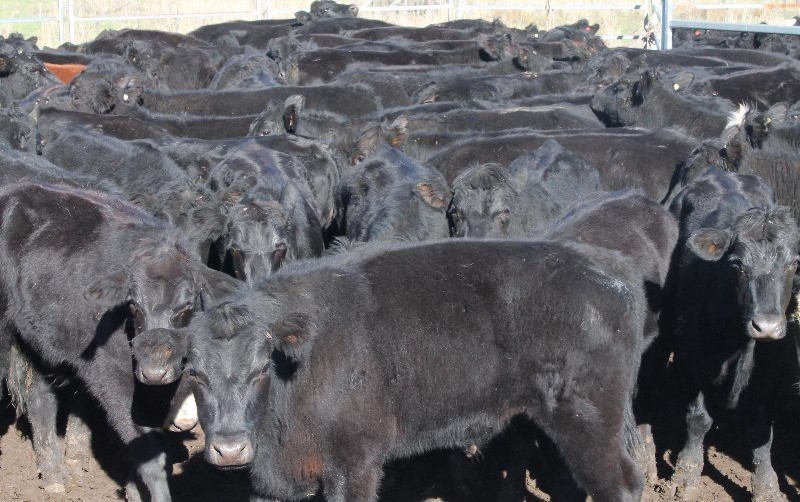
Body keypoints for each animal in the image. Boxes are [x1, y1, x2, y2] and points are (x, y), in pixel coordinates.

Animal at [666, 167, 800, 501]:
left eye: (794, 263)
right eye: (738, 264)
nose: (766, 326)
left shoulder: (772, 368)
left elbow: (761, 431)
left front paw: (766, 485)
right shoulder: (689, 356)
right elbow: (698, 418)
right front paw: (686, 472)